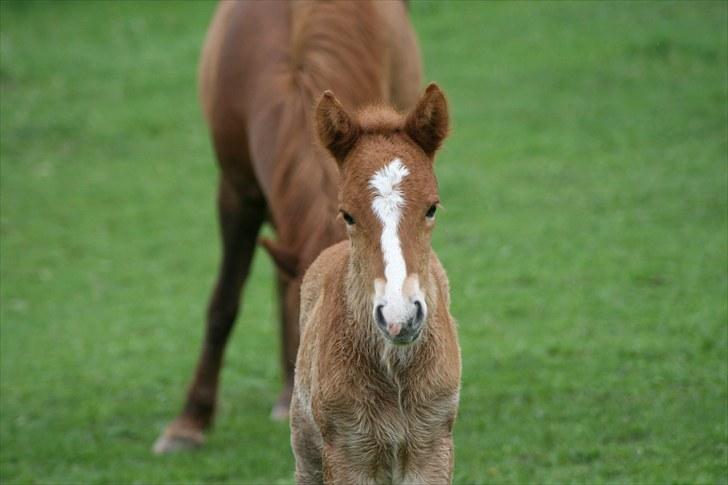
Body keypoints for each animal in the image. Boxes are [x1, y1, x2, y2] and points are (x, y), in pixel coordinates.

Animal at [290, 85, 460, 482]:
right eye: (347, 214)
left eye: (432, 207)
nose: (400, 317)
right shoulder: (347, 453)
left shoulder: (433, 448)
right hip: (306, 452)